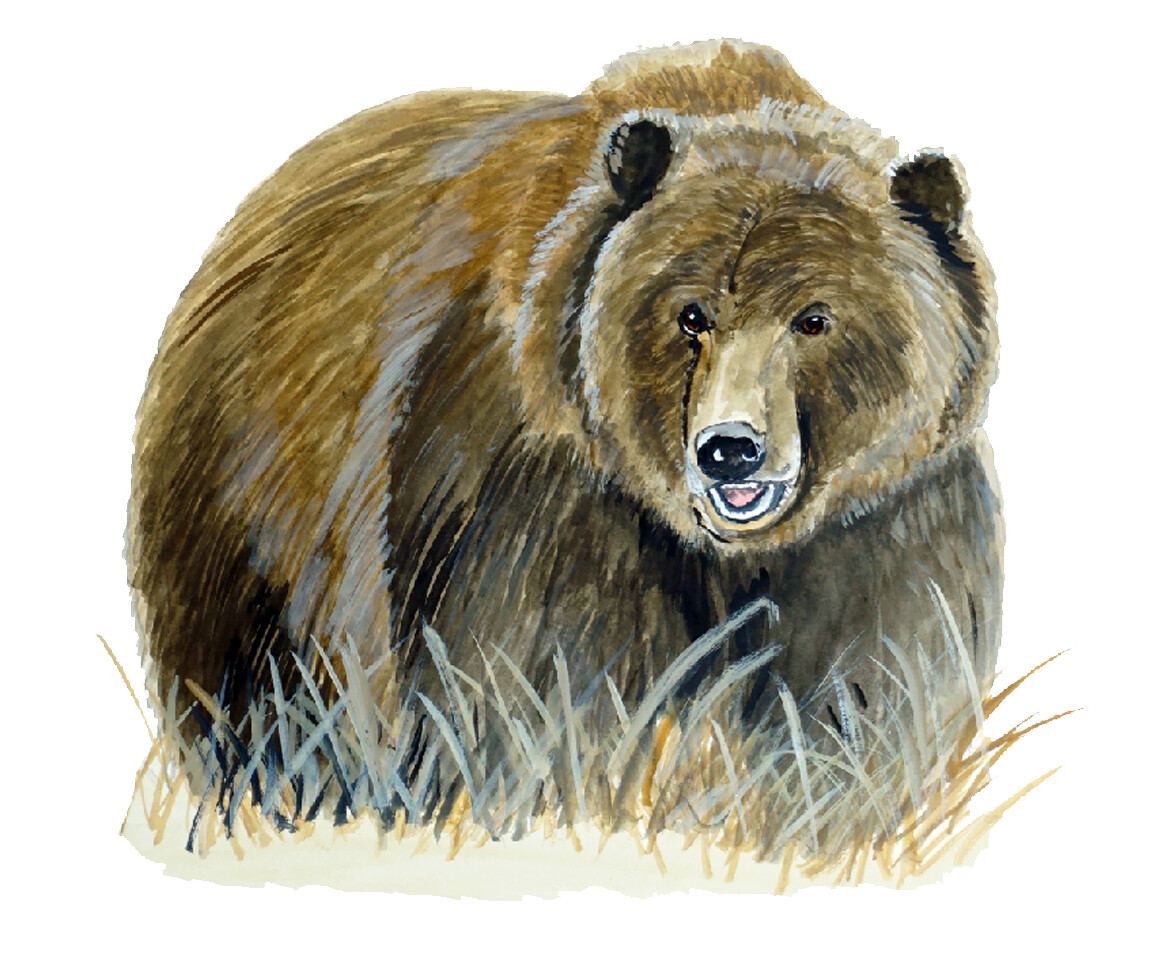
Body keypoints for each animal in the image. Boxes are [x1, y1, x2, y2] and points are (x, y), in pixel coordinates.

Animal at [129, 39, 1001, 765]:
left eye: (815, 317)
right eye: (691, 314)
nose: (731, 447)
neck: (723, 552)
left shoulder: (882, 525)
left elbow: (866, 703)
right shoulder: (538, 505)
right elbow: (527, 703)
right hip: (246, 520)